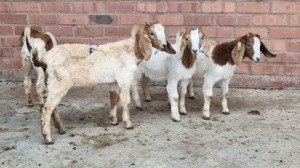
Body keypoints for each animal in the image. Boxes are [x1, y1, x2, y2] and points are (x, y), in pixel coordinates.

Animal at [31, 21, 175, 144]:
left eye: (163, 31)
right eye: (151, 33)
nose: (164, 46)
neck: (131, 51)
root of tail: (44, 58)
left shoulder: (114, 81)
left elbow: (114, 99)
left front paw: (113, 121)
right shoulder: (124, 79)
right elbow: (126, 101)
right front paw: (128, 123)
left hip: (51, 83)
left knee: (52, 107)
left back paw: (60, 129)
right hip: (59, 82)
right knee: (47, 109)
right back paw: (48, 138)